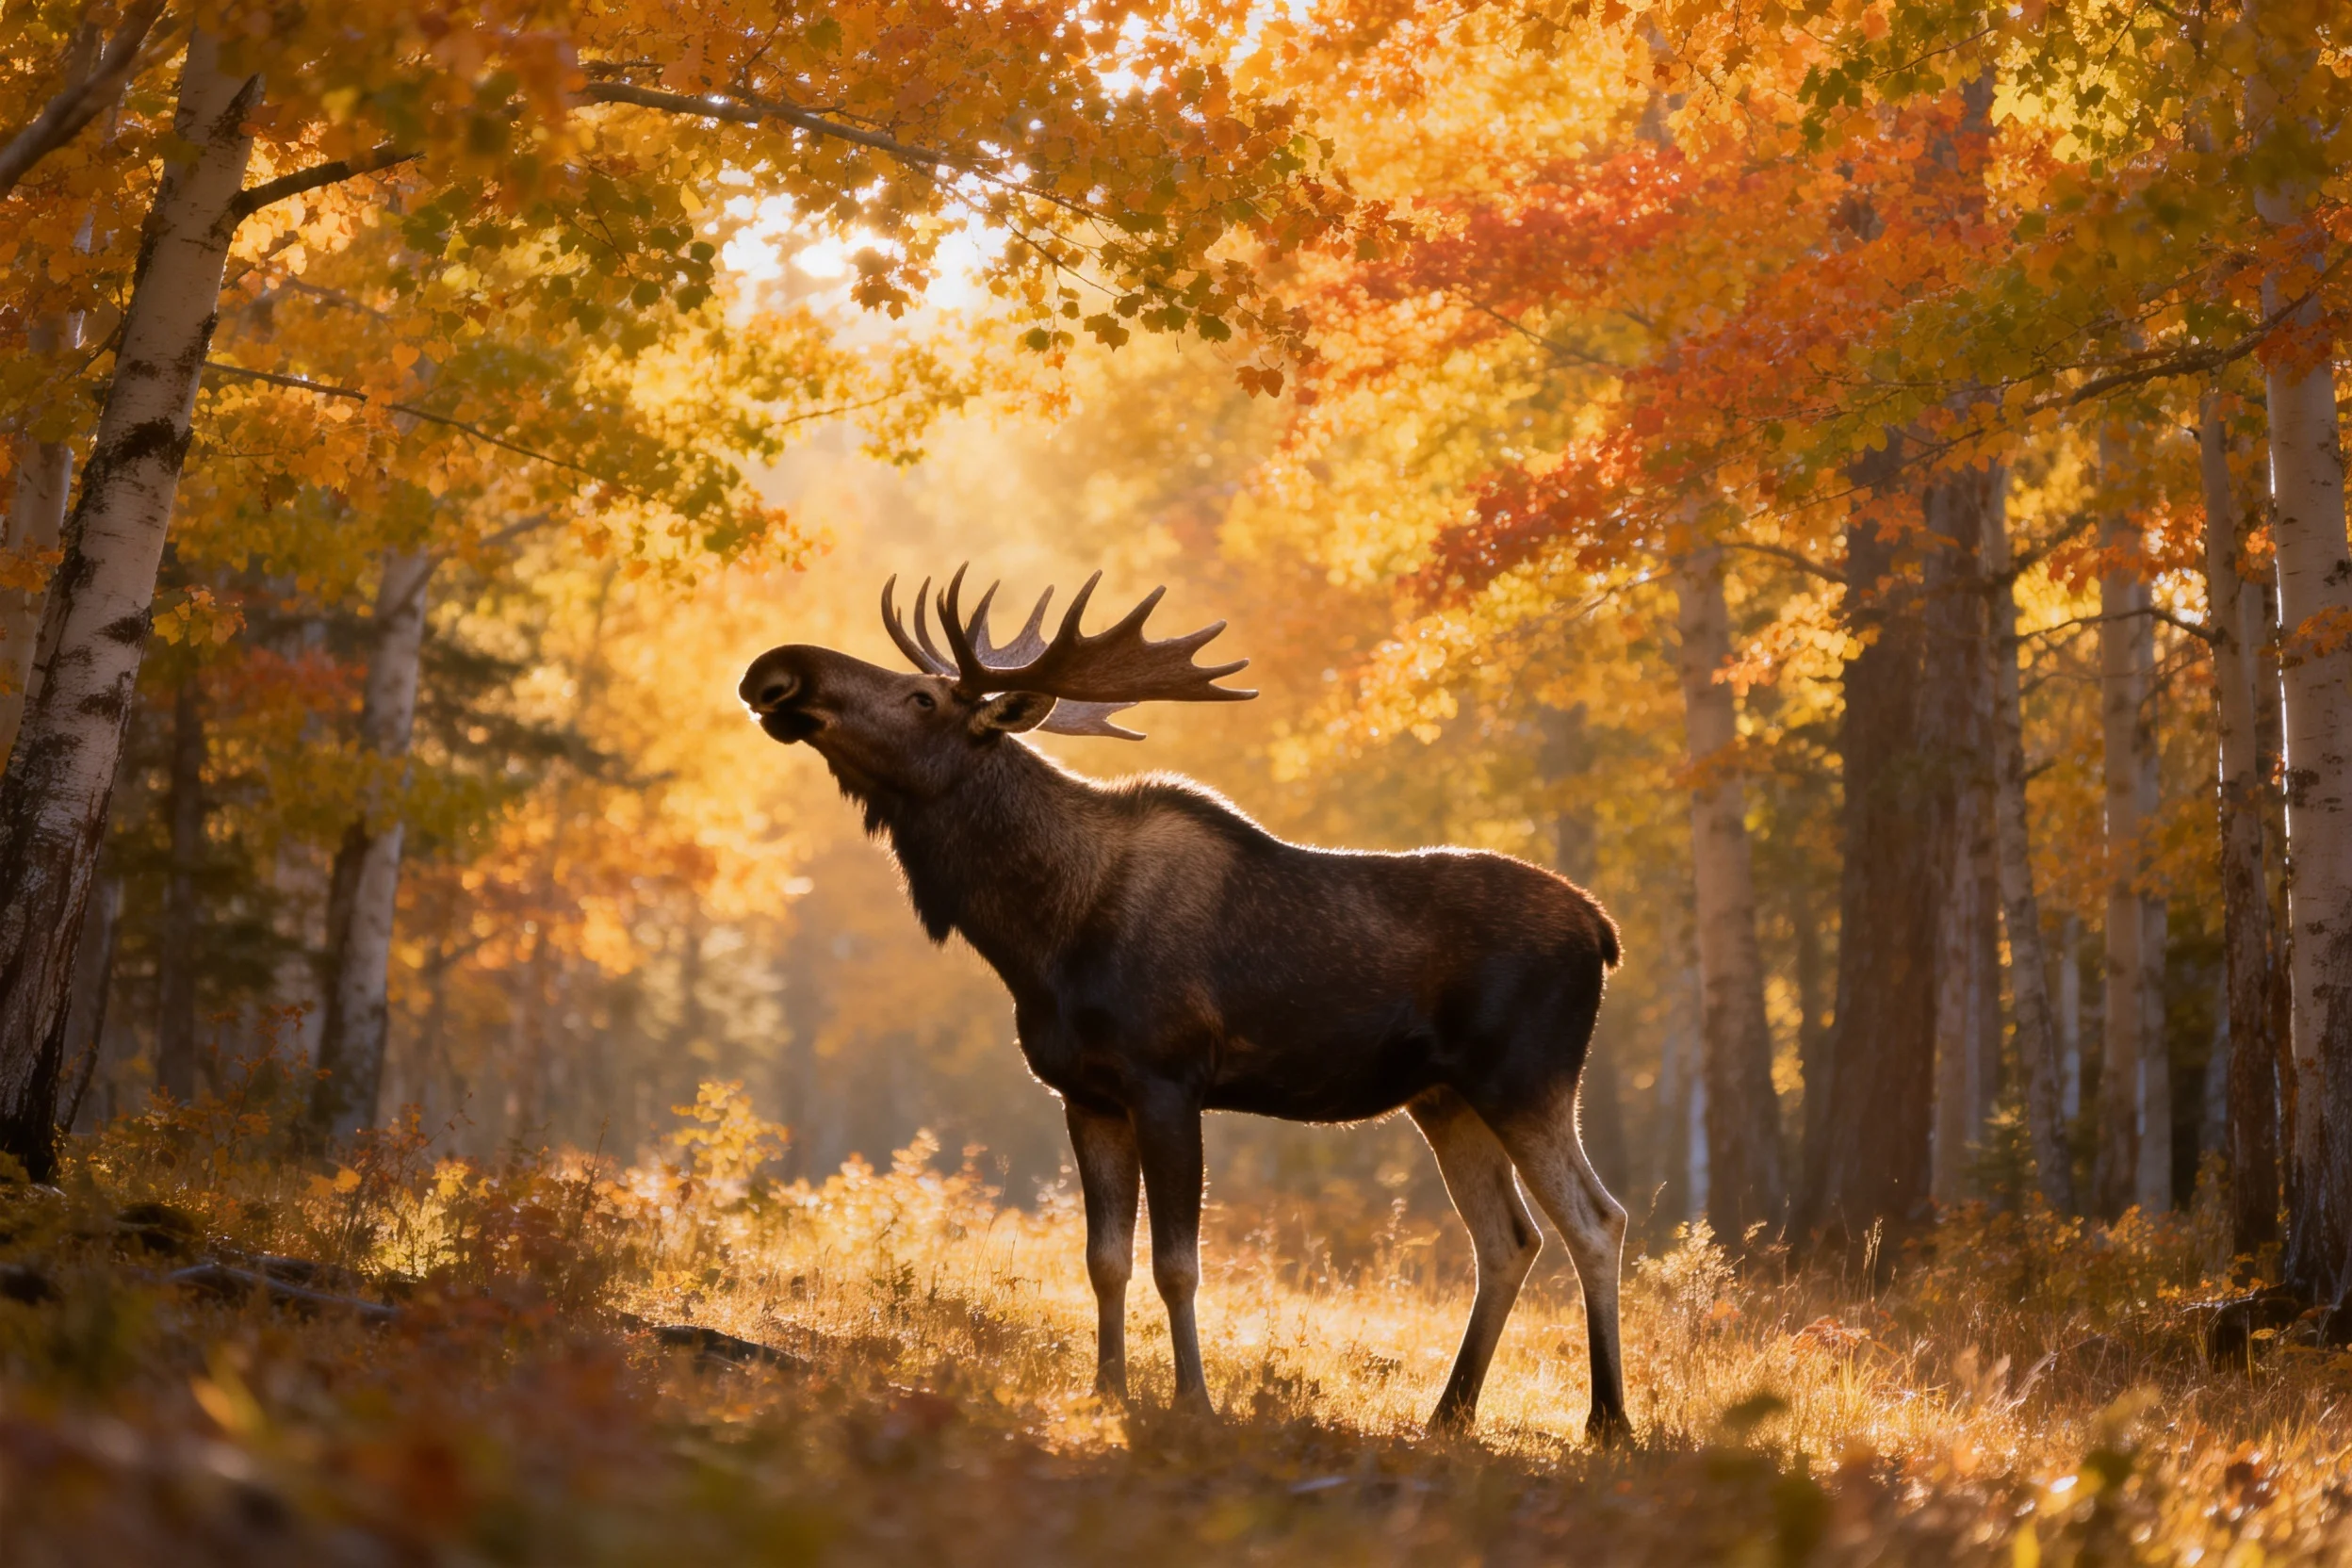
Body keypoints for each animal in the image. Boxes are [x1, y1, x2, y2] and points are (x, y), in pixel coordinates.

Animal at [738, 569, 1630, 1440]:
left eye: (922, 698)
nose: (777, 669)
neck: (1039, 936)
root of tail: (1603, 928)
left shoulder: (1166, 1080)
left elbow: (1177, 1263)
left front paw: (1192, 1401)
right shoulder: (1086, 1094)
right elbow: (1105, 1259)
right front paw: (1105, 1390)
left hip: (1526, 1078)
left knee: (1596, 1219)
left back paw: (1608, 1420)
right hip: (1444, 1098)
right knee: (1508, 1239)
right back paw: (1450, 1413)